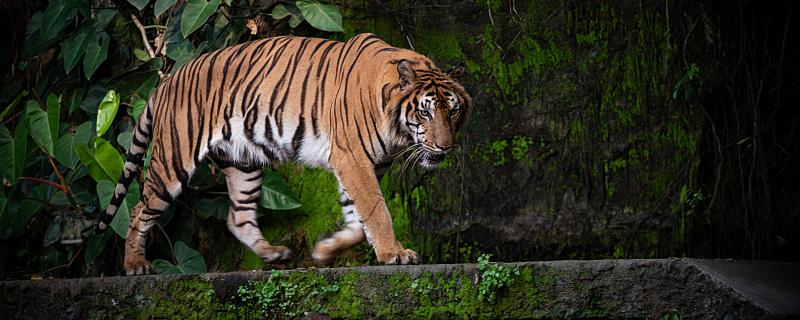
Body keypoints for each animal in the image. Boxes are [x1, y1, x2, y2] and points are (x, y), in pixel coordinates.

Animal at [94, 33, 472, 276]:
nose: (445, 147)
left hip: (243, 162)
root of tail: (167, 80)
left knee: (238, 217)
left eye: (452, 111)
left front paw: (325, 250)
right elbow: (376, 210)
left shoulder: (359, 165)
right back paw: (134, 266)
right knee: (139, 210)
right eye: (425, 112)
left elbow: (356, 217)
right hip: (174, 160)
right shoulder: (352, 159)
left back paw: (274, 254)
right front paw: (394, 253)